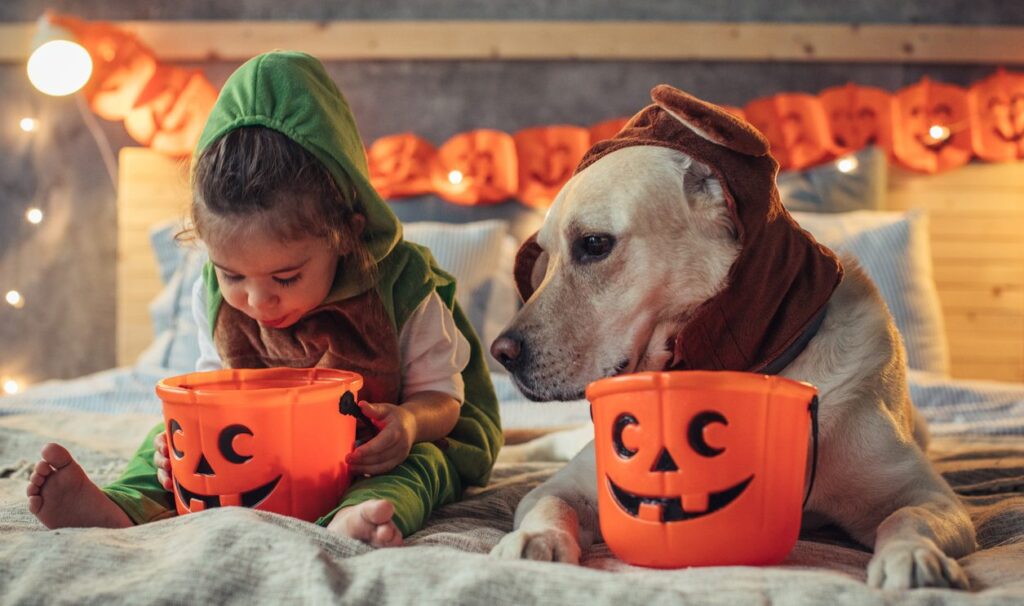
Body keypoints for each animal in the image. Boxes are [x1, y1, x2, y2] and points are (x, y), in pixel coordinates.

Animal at [487, 83, 974, 585]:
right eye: (544, 256)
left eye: (595, 244)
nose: (499, 353)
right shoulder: (570, 484)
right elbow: (548, 501)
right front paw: (535, 539)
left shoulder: (933, 497)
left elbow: (908, 517)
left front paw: (913, 558)